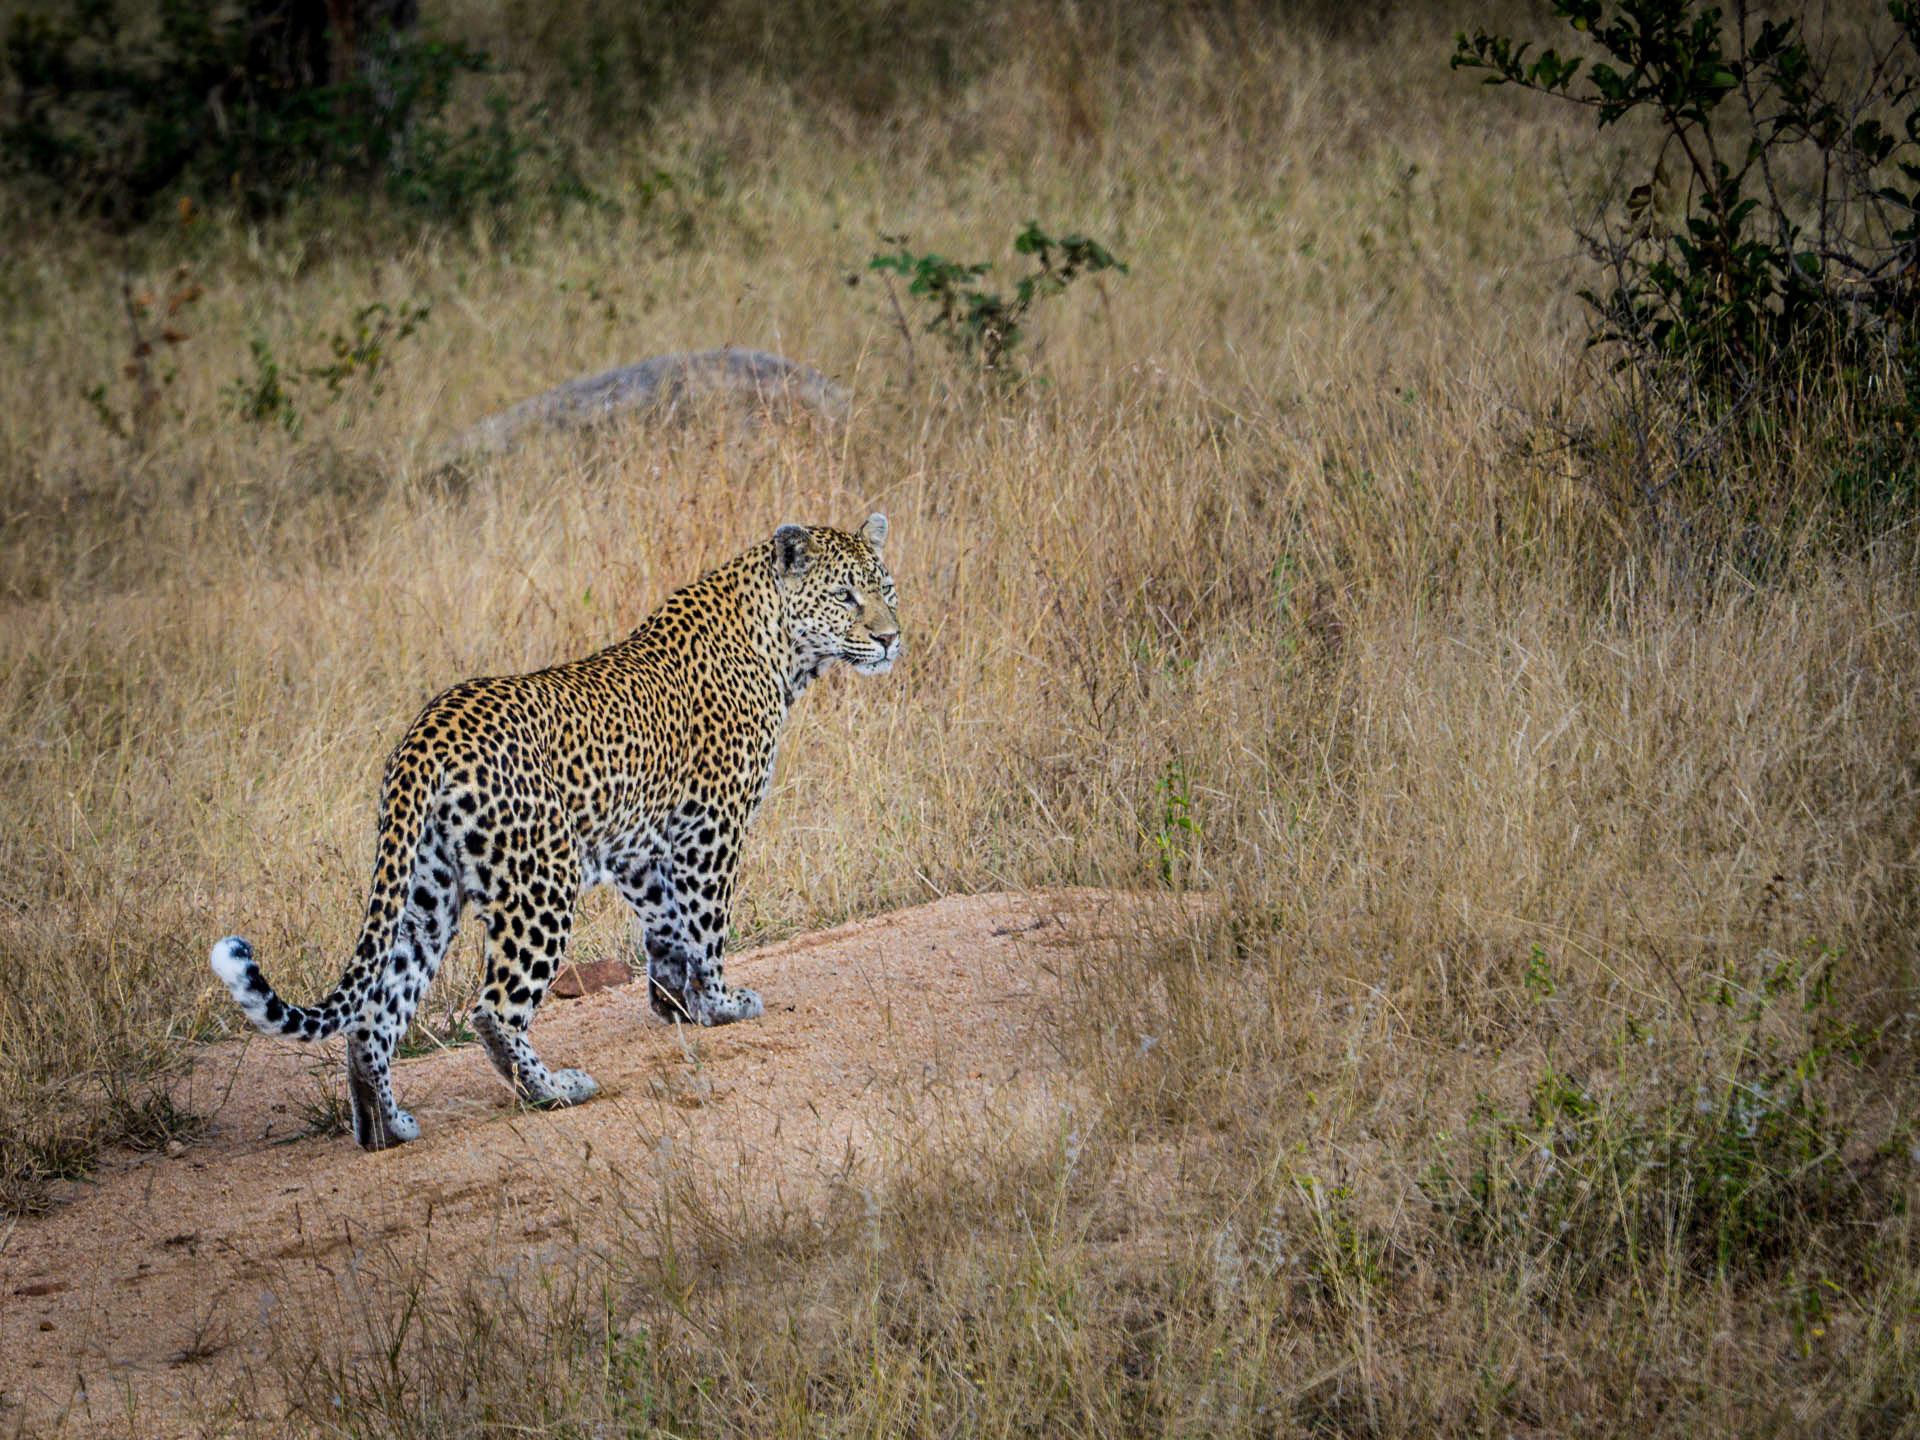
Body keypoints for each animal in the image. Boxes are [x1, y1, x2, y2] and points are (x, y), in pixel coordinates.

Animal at [210, 514, 900, 1151]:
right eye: (845, 596)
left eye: (887, 588)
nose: (892, 638)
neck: (781, 647)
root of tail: (428, 731)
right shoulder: (711, 825)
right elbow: (705, 926)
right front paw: (721, 1004)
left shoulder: (638, 849)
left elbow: (665, 927)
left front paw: (676, 1005)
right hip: (540, 881)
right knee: (493, 1010)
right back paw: (554, 1090)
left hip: (424, 894)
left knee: (374, 1011)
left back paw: (386, 1126)